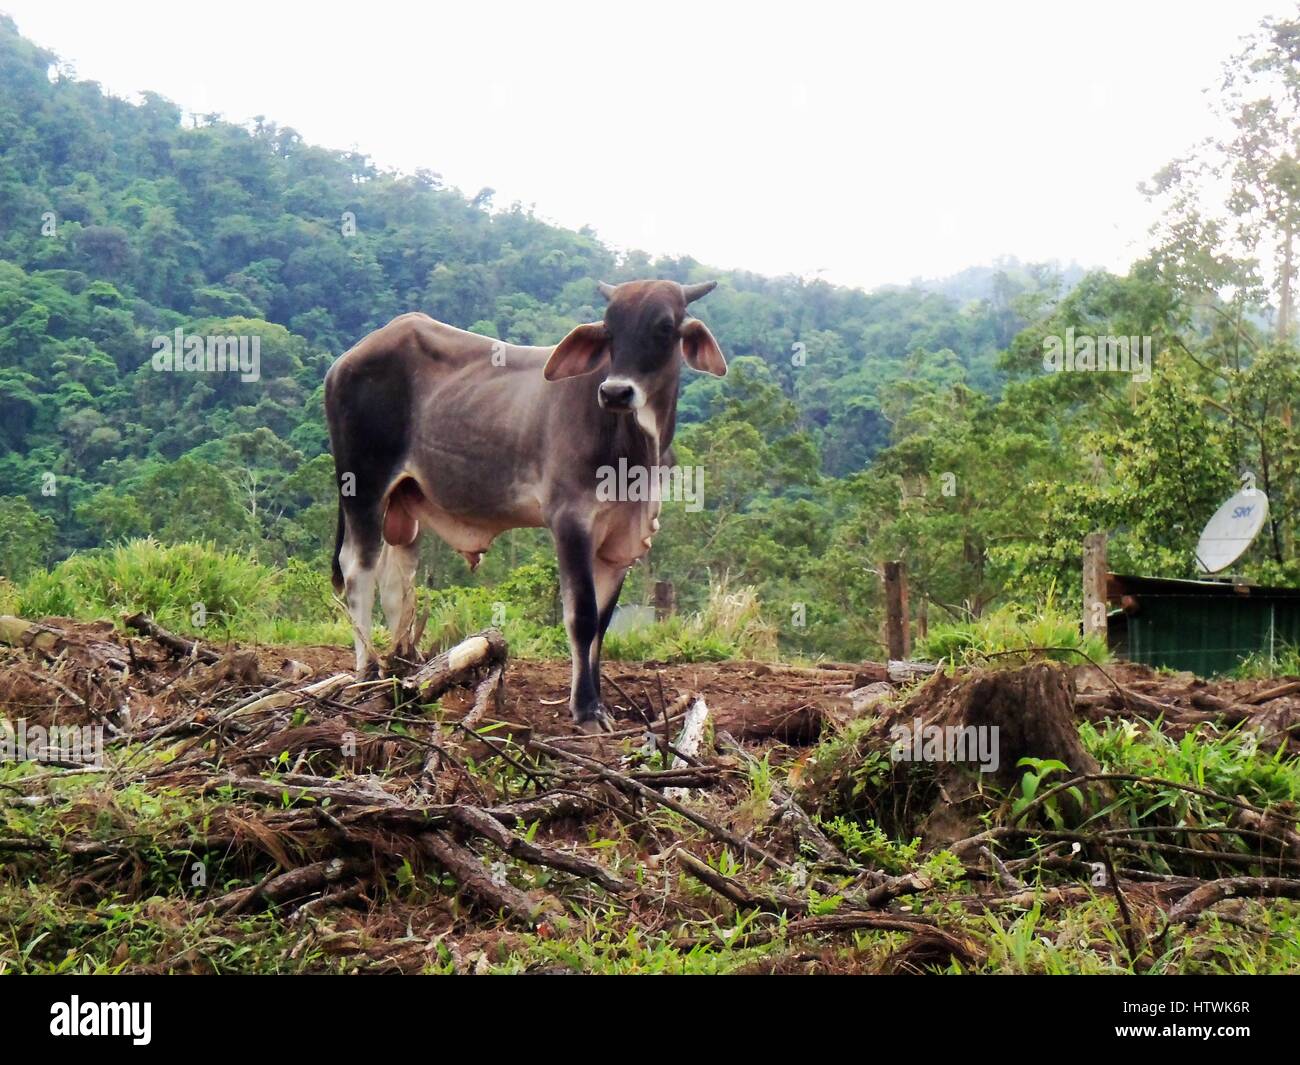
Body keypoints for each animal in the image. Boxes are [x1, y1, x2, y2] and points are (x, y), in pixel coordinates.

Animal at [324, 279, 726, 731]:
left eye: (664, 327)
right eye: (609, 329)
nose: (615, 392)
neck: (633, 449)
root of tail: (347, 359)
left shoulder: (620, 541)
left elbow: (603, 624)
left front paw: (599, 704)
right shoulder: (570, 520)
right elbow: (582, 616)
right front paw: (585, 710)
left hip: (404, 501)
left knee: (396, 582)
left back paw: (403, 669)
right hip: (363, 485)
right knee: (358, 570)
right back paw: (368, 671)